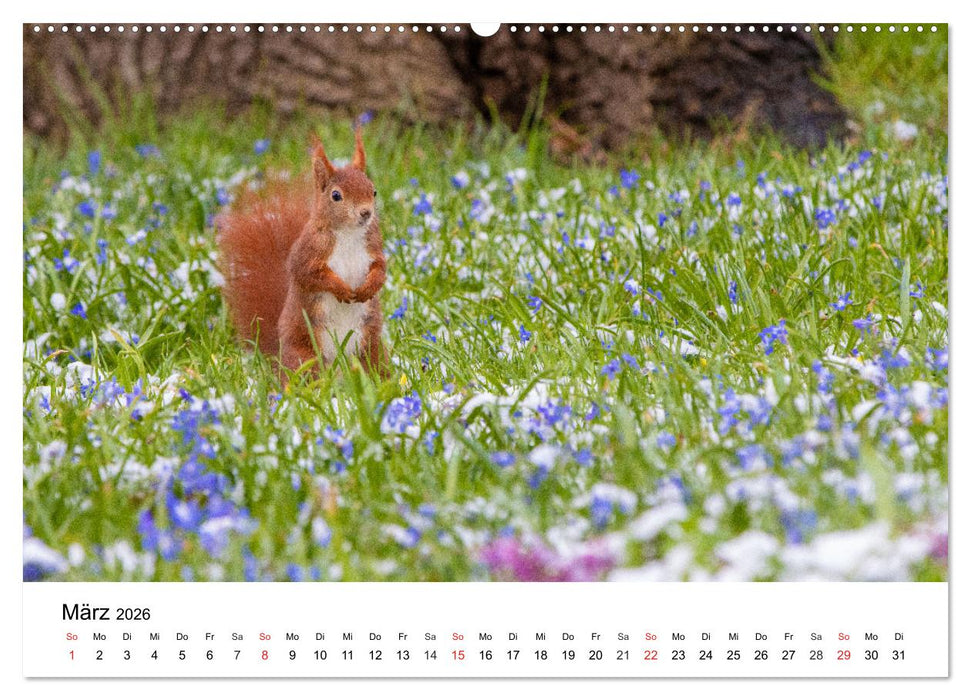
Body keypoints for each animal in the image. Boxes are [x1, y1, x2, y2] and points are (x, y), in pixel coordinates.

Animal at [216, 126, 388, 381]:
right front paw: (341, 289)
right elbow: (309, 275)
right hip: (304, 357)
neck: (348, 233)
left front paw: (368, 288)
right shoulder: (307, 253)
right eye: (336, 195)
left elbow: (381, 270)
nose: (366, 213)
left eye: (373, 191)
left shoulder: (373, 248)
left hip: (371, 350)